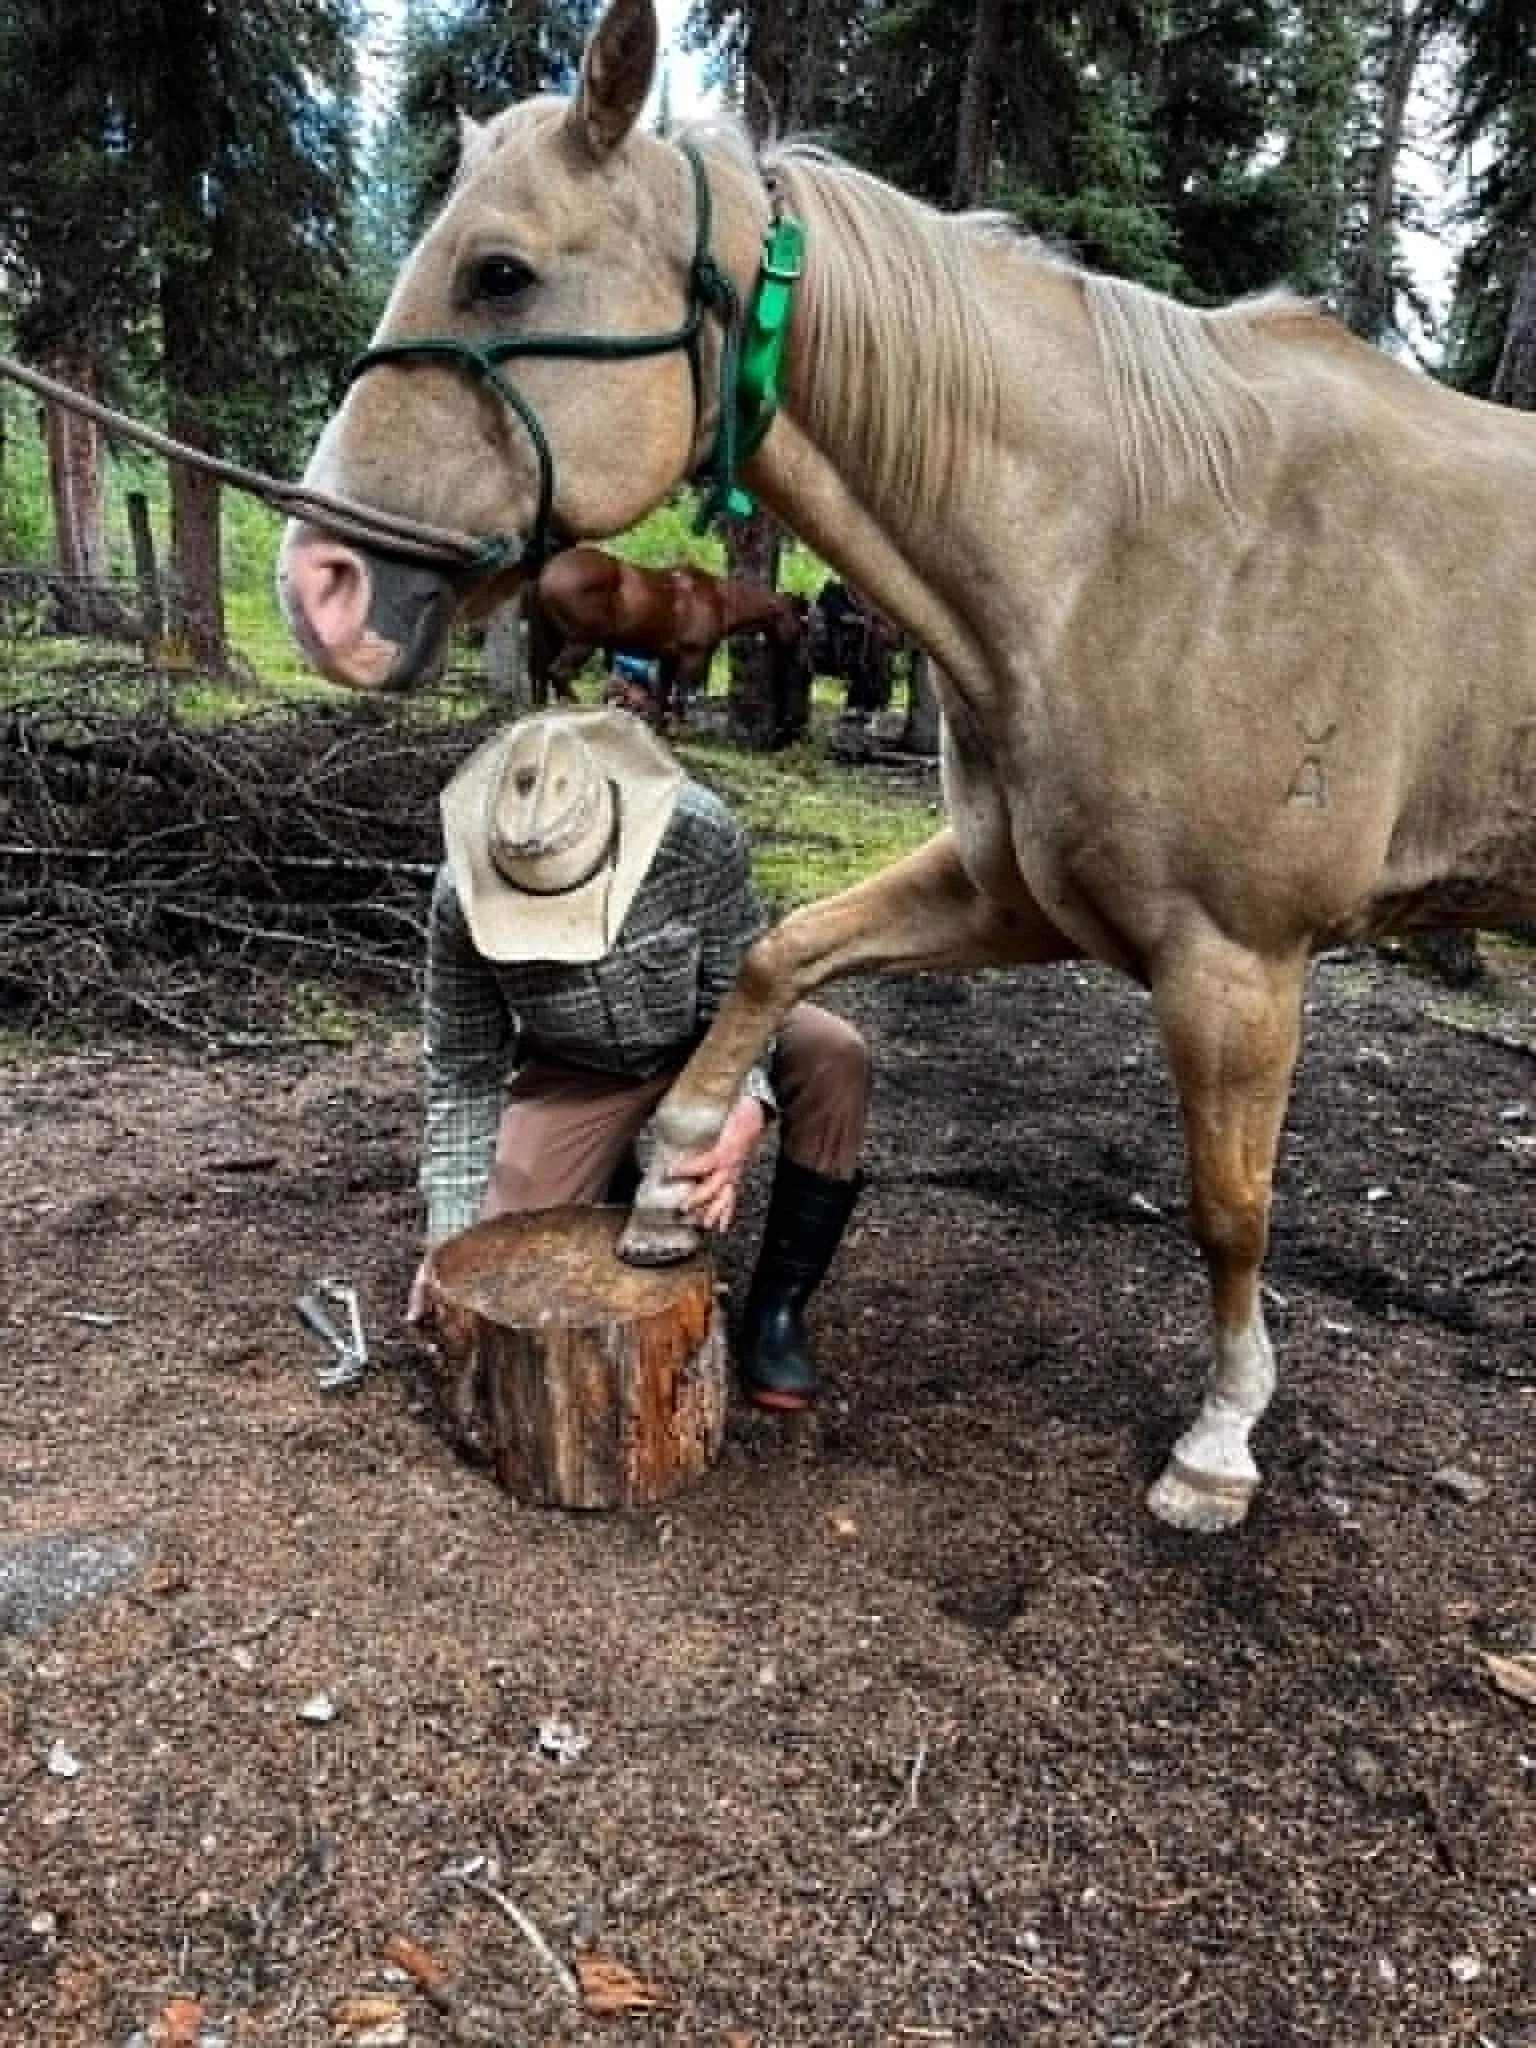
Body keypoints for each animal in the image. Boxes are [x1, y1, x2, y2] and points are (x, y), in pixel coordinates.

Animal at [523, 543, 805, 728]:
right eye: (801, 620)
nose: (797, 652)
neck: (718, 599)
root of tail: (546, 572)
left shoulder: (668, 659)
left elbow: (661, 698)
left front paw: (658, 729)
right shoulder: (692, 658)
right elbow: (679, 697)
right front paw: (677, 728)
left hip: (556, 639)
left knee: (549, 676)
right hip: (582, 641)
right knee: (559, 672)